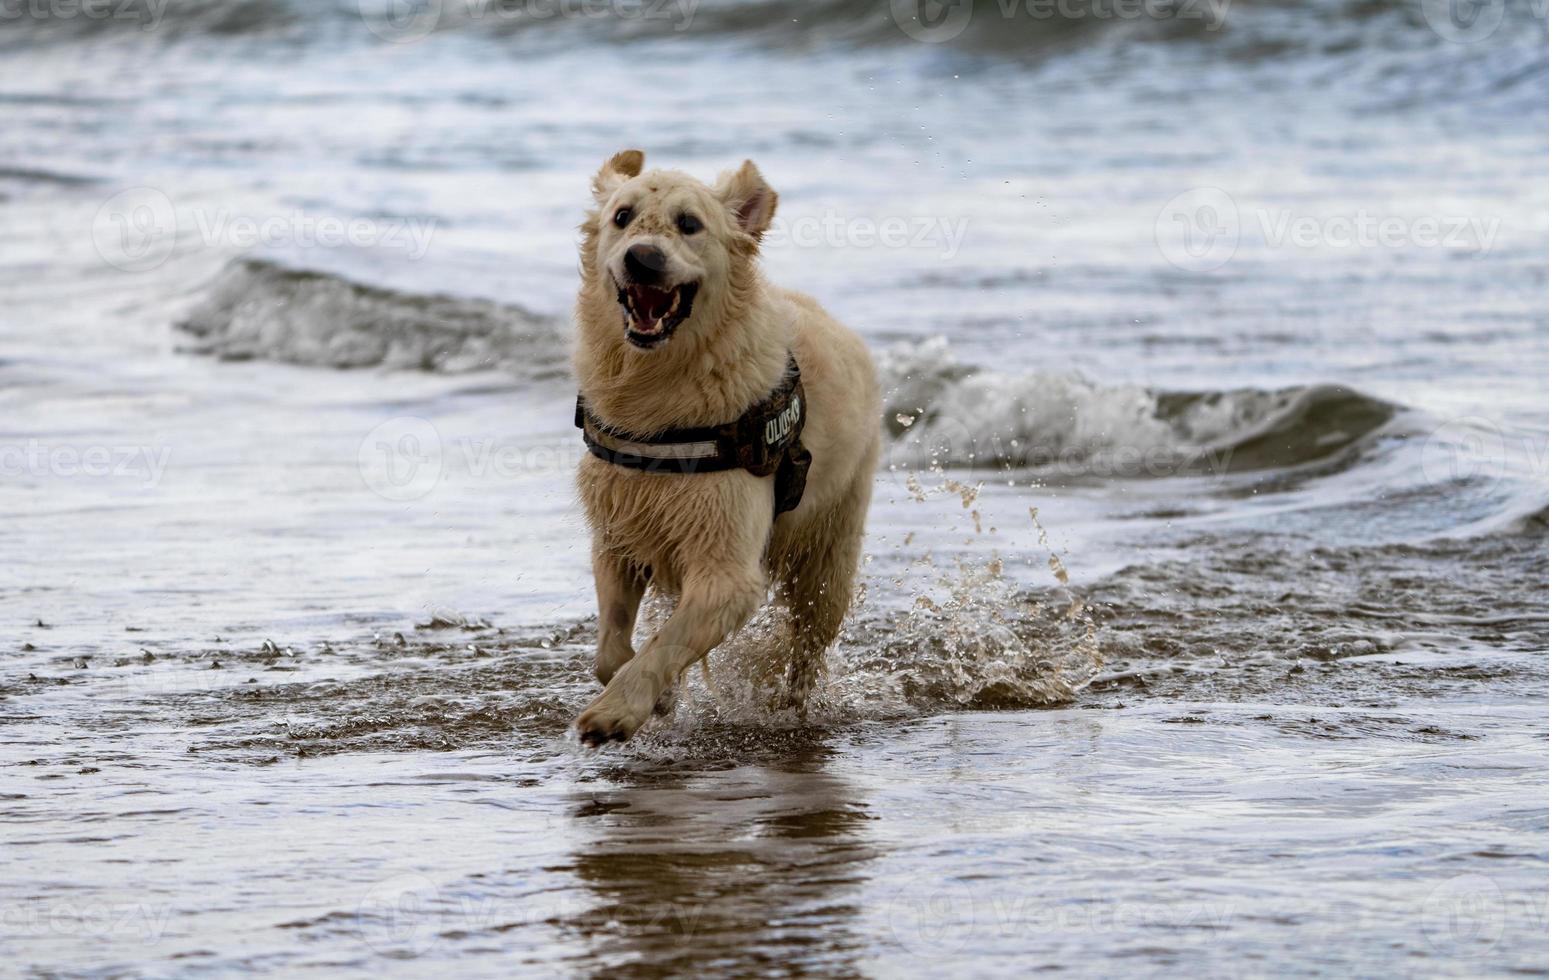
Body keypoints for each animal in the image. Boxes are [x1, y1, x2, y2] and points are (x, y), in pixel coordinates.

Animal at [573, 149, 886, 740]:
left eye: (689, 224)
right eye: (623, 216)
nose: (642, 259)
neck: (660, 389)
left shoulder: (726, 562)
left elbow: (666, 640)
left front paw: (618, 709)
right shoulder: (618, 528)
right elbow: (610, 646)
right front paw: (659, 696)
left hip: (831, 545)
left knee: (809, 642)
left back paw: (793, 706)